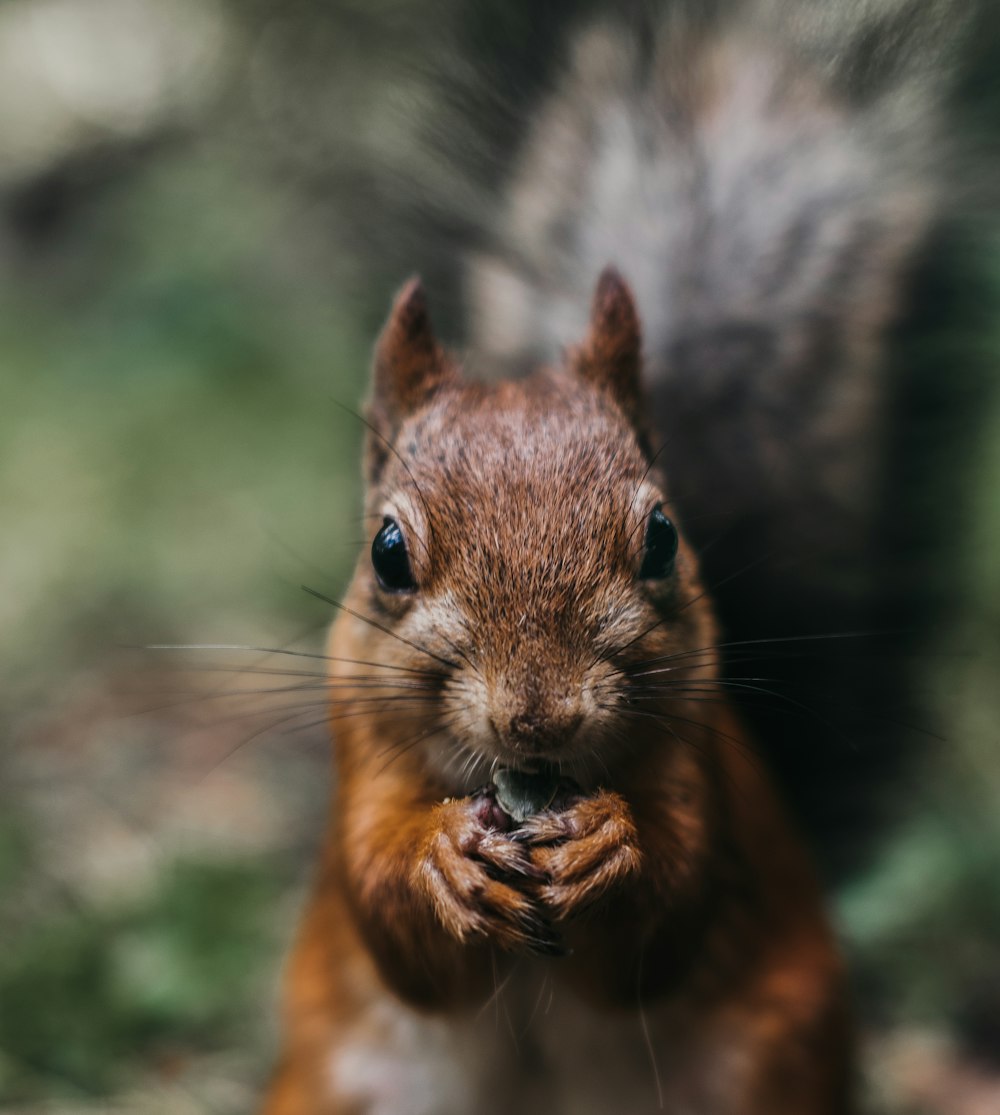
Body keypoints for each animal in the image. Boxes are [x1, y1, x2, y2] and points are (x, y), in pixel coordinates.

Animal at [259, 272, 851, 1115]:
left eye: (664, 536)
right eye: (386, 552)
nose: (538, 718)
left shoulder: (693, 751)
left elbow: (668, 919)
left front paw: (605, 843)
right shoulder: (365, 757)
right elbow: (389, 914)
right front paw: (446, 857)